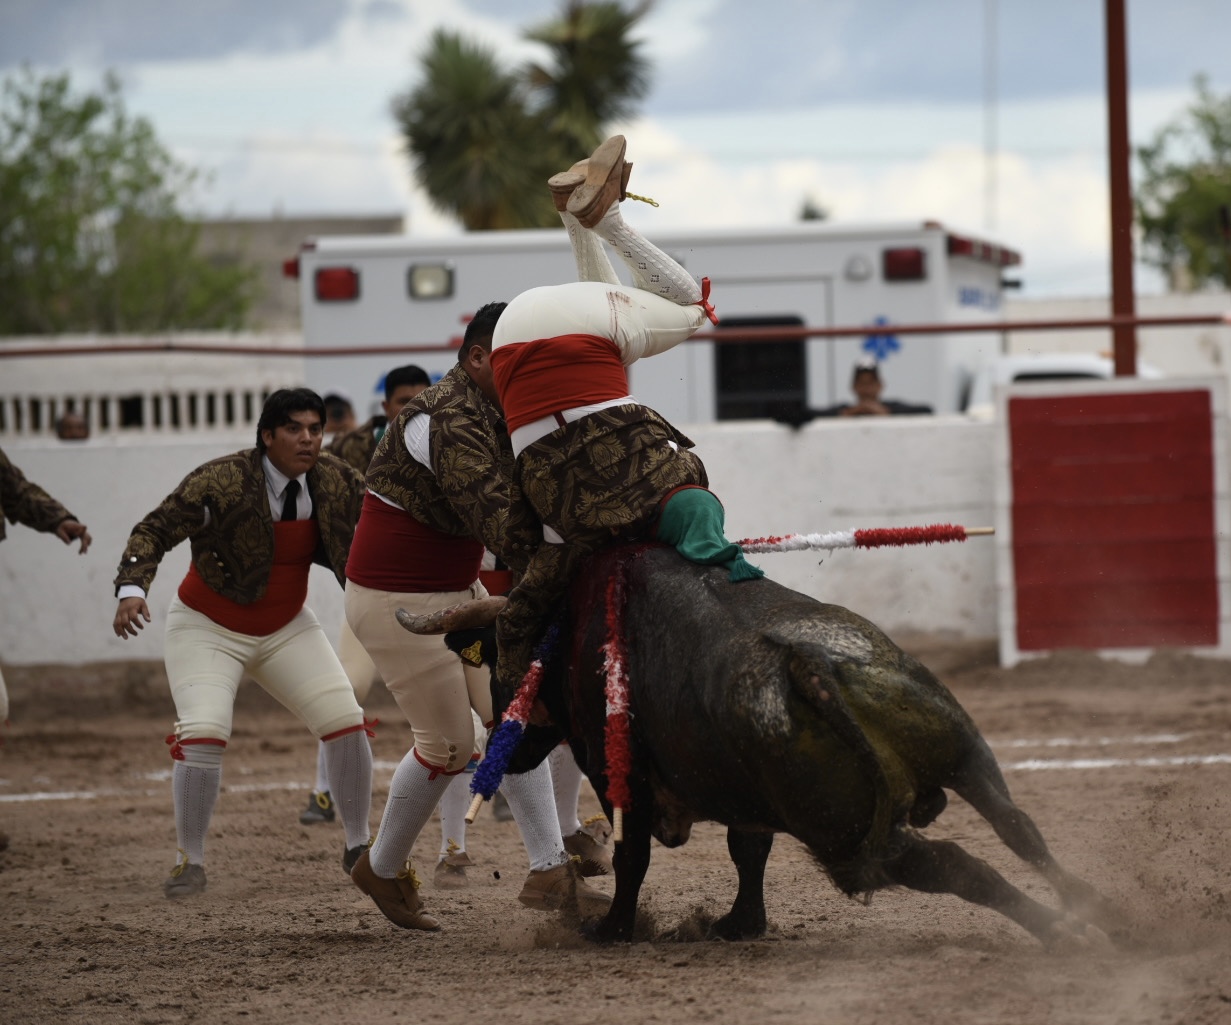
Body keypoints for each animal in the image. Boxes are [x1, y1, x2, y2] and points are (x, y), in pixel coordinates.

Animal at [398, 543, 1121, 948]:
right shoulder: (745, 792)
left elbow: (634, 856)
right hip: (963, 752)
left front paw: (612, 930)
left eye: (499, 668)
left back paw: (1066, 930)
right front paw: (739, 923)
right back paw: (1107, 914)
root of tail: (808, 661)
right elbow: (748, 849)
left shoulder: (616, 775)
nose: (504, 747)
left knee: (955, 864)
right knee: (1014, 824)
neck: (568, 629)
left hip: (848, 842)